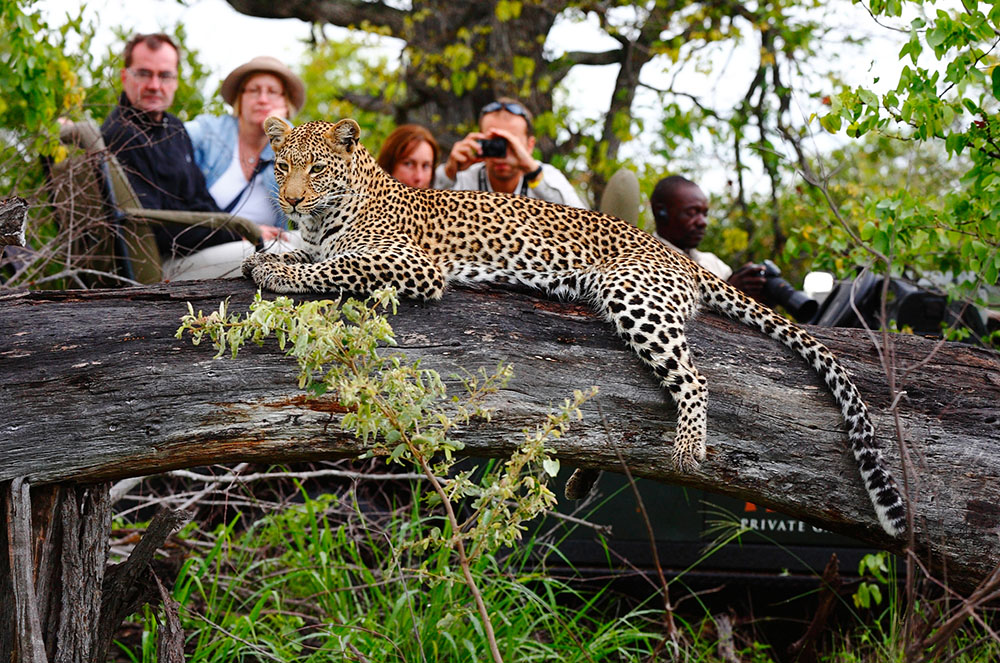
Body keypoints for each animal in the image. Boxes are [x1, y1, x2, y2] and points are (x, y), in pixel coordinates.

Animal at [243, 116, 907, 537]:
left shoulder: (412, 265)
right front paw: (268, 254)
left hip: (634, 295)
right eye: (283, 167)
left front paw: (275, 271)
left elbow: (333, 267)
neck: (328, 214)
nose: (292, 200)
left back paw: (686, 447)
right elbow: (312, 256)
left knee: (693, 378)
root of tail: (680, 255)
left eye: (317, 169)